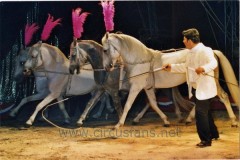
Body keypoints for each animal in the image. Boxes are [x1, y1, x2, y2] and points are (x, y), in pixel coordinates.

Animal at [102, 32, 239, 129]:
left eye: (105, 50)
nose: (107, 67)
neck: (140, 60)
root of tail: (212, 52)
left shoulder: (136, 87)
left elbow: (128, 105)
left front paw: (118, 124)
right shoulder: (148, 88)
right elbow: (153, 103)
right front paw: (166, 120)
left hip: (210, 82)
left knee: (223, 96)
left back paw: (233, 121)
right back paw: (188, 119)